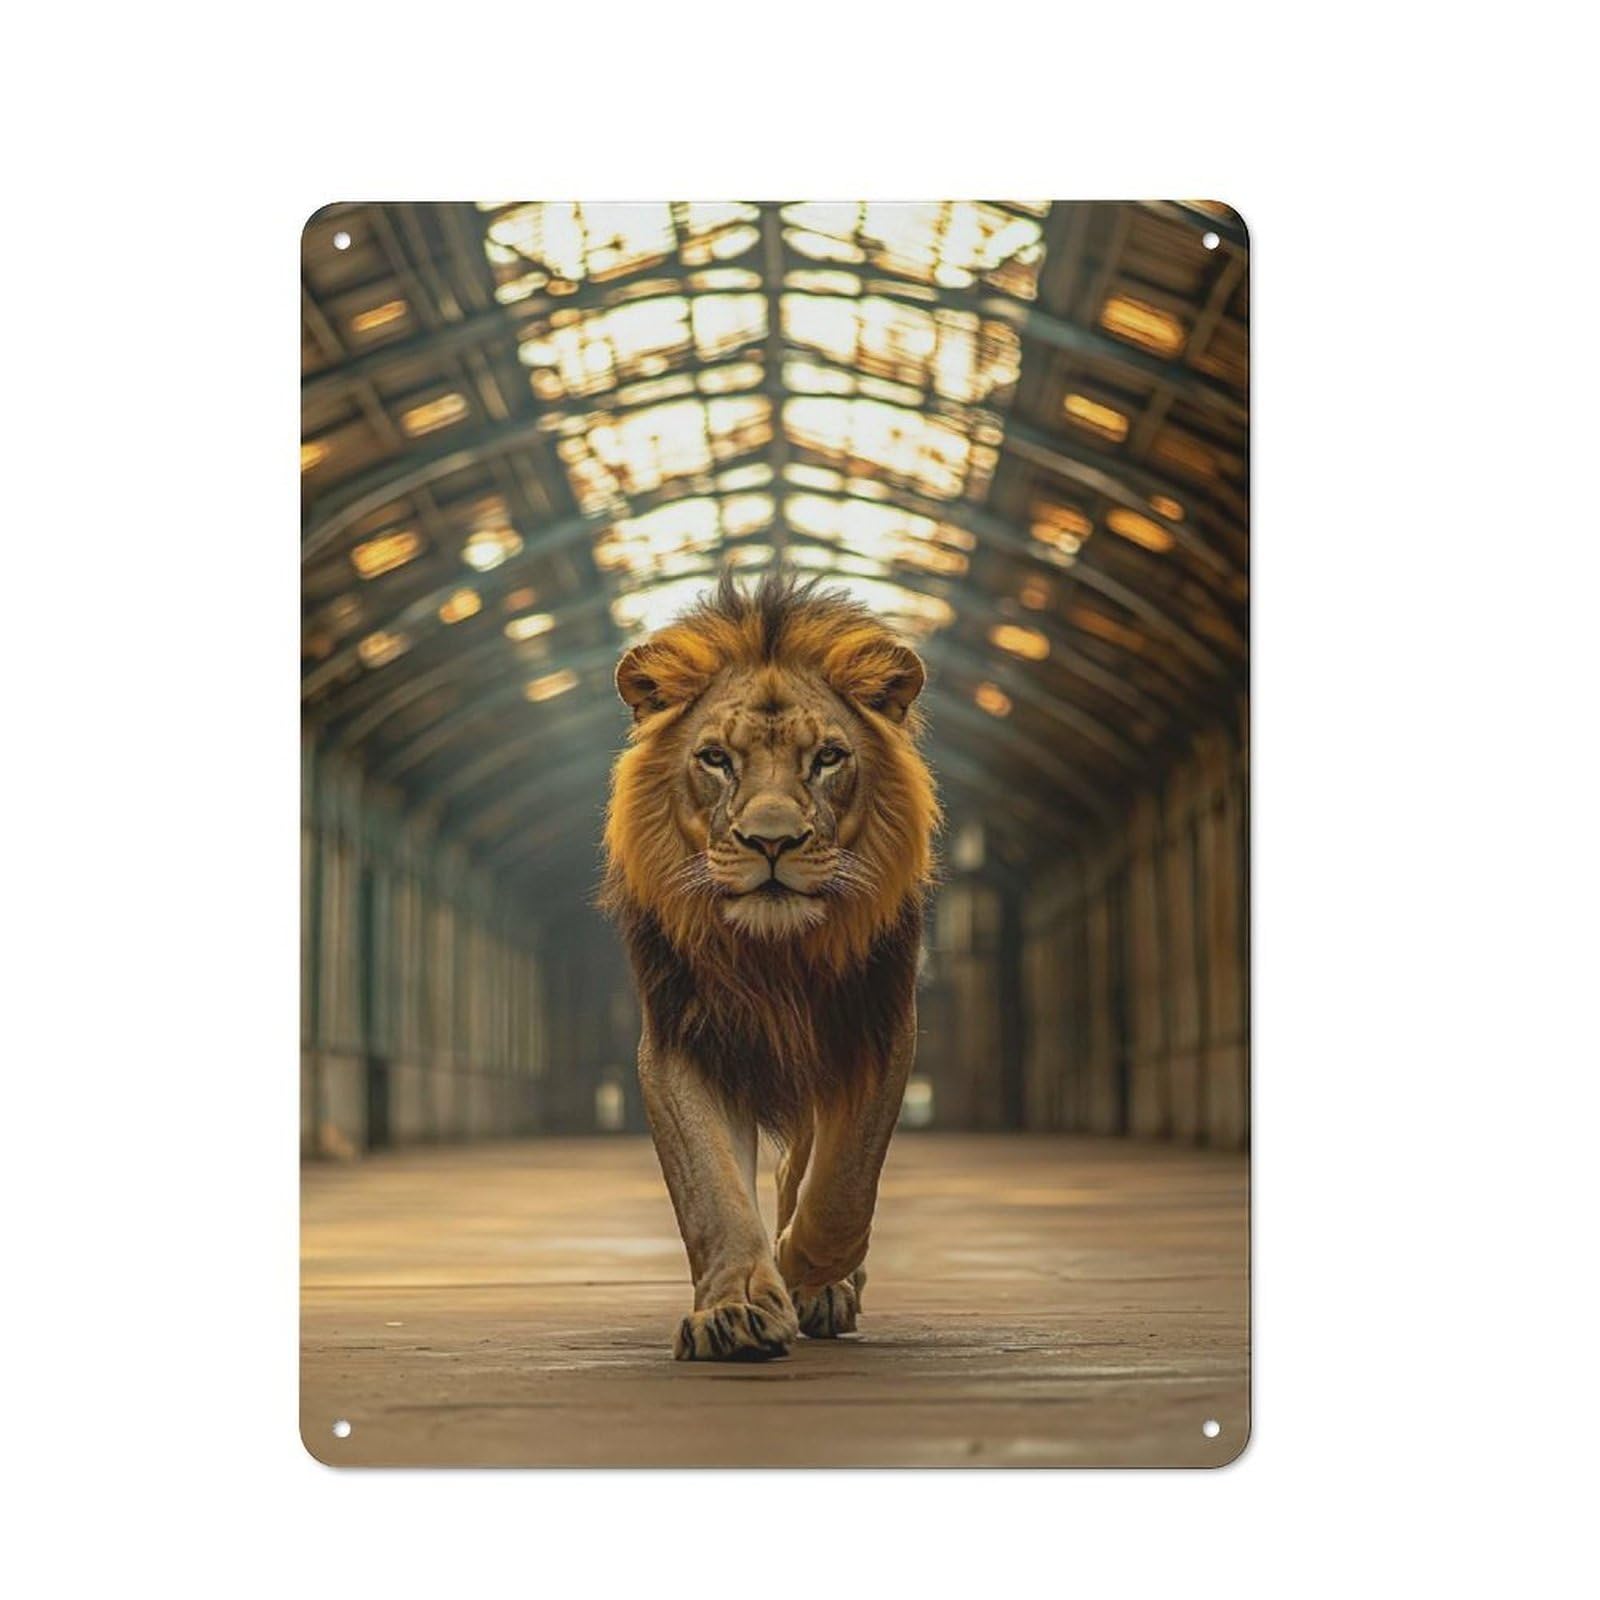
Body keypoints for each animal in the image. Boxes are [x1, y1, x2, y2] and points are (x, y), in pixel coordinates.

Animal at [602, 570, 939, 1360]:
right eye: (716, 759)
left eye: (828, 758)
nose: (772, 842)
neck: (774, 956)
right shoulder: (682, 1038)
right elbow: (712, 1190)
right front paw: (737, 1309)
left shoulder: (876, 1029)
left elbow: (844, 1187)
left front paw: (800, 1267)